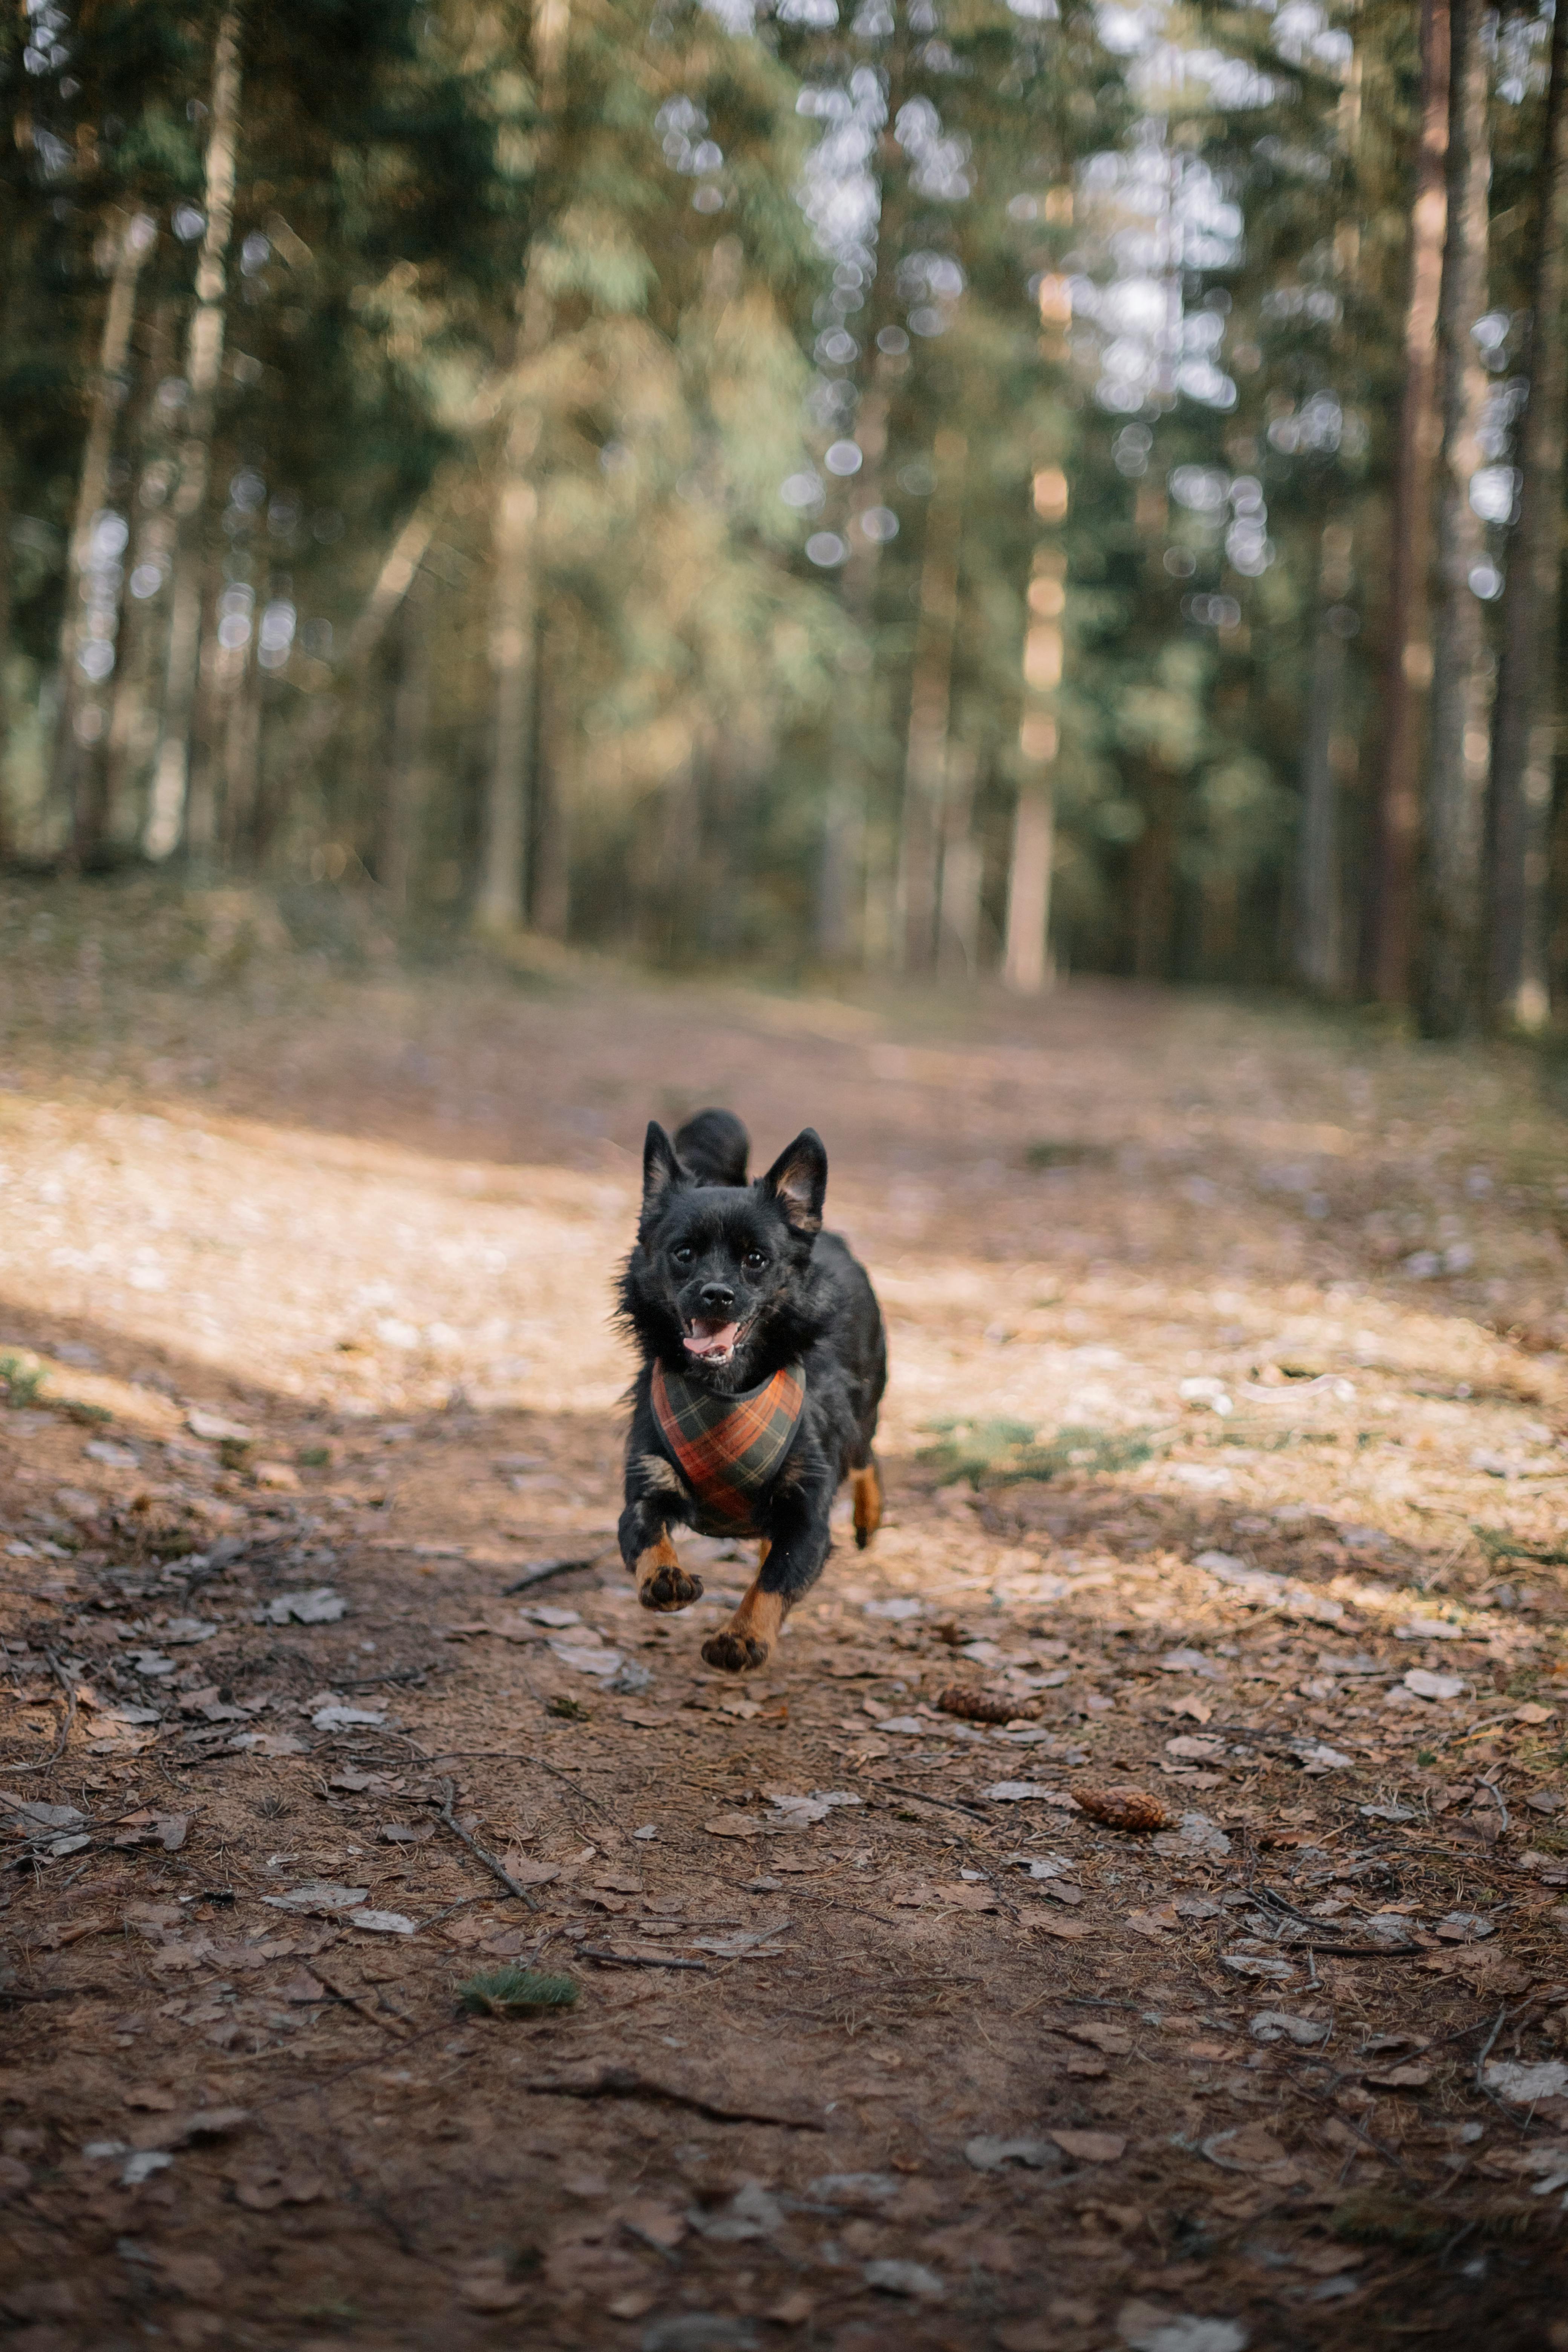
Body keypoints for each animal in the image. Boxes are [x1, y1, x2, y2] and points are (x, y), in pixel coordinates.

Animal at [620, 1105, 888, 1674]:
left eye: (756, 1260)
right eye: (683, 1253)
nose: (716, 1294)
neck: (726, 1392)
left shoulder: (808, 1518)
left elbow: (776, 1580)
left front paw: (742, 1637)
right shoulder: (647, 1487)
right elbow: (646, 1534)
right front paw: (664, 1576)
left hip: (861, 1416)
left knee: (867, 1457)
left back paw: (869, 1518)